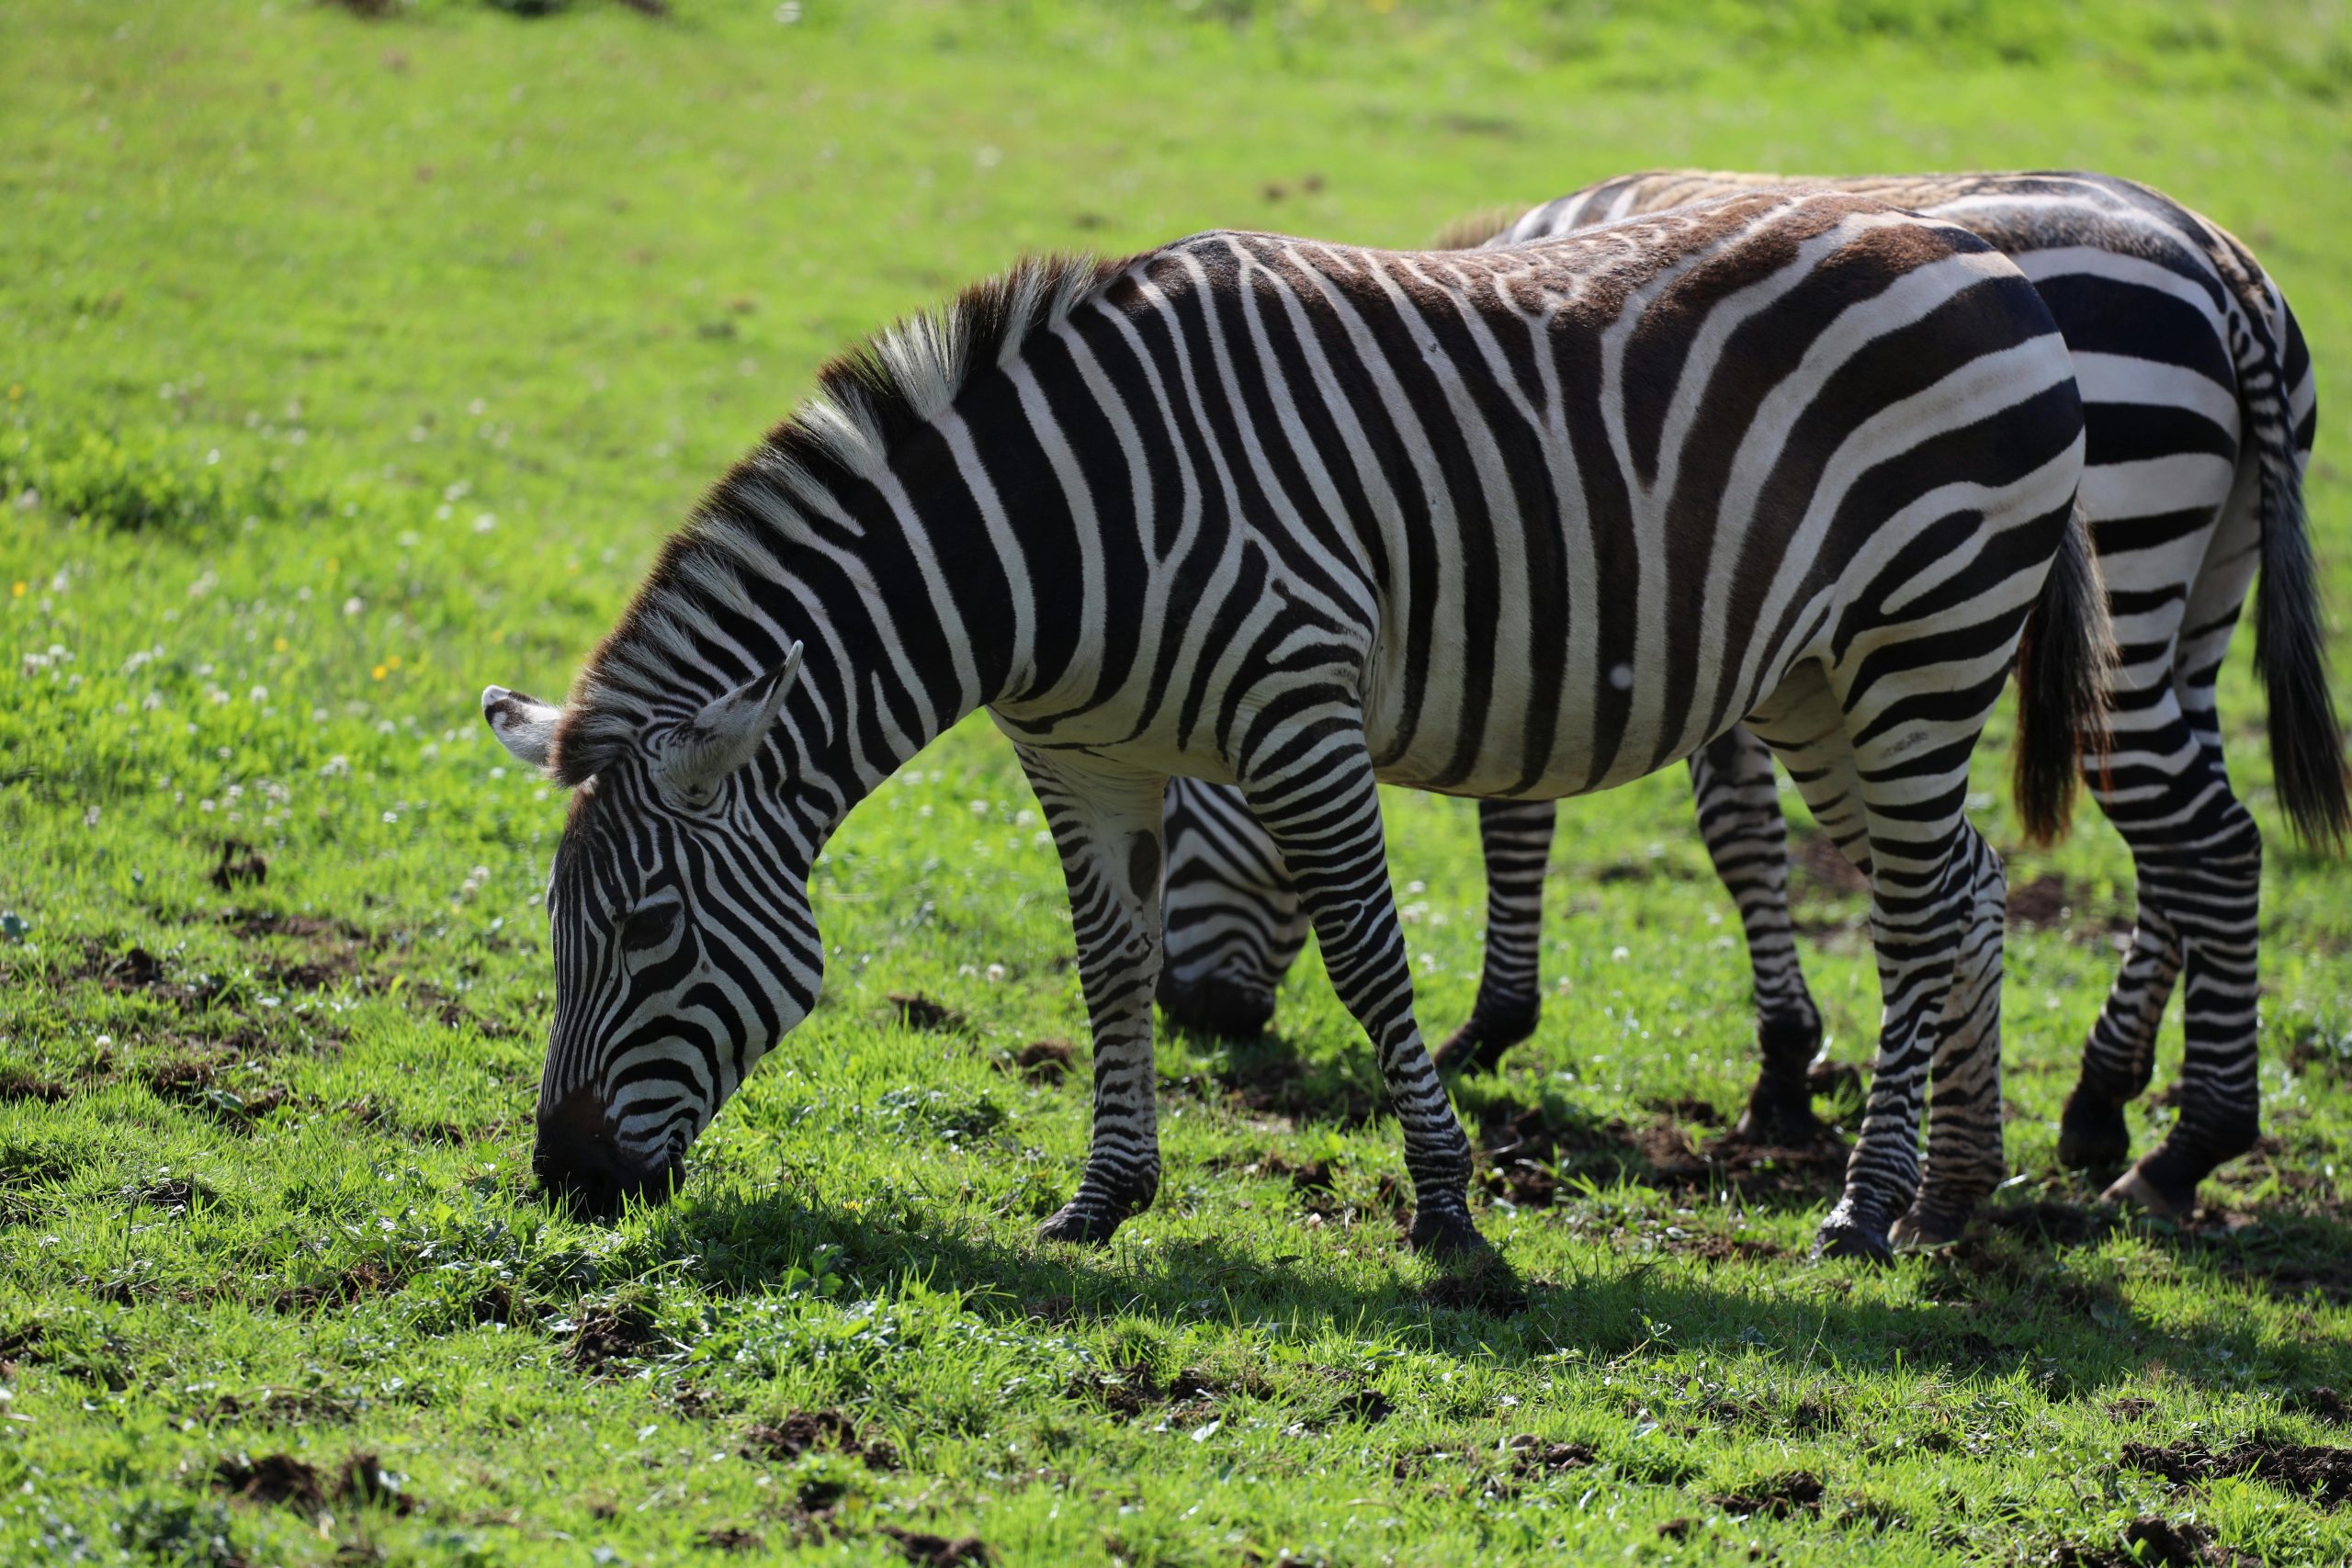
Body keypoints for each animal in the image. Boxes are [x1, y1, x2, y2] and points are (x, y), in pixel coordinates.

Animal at [481, 188, 2104, 1263]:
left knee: (1918, 909)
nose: (563, 1177)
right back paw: (1954, 1191)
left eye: (649, 933)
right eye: (554, 929)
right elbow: (1110, 965)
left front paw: (1451, 1218)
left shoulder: (1299, 707)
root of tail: (1974, 253)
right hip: (1820, 679)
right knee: (1960, 889)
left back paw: (1866, 1204)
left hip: (1924, 640)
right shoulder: (1078, 757)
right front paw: (1103, 1196)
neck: (1055, 541)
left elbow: (1369, 951)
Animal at [1157, 169, 2339, 1223]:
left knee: (2206, 840)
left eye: (1175, 819)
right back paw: (2102, 1107)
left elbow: (1625, 823)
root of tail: (2219, 266)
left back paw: (2187, 1146)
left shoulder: (1610, 603)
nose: (1195, 1017)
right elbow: (1719, 830)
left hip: (2115, 572)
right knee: (2183, 846)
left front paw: (1514, 1027)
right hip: (2196, 600)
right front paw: (1783, 1063)